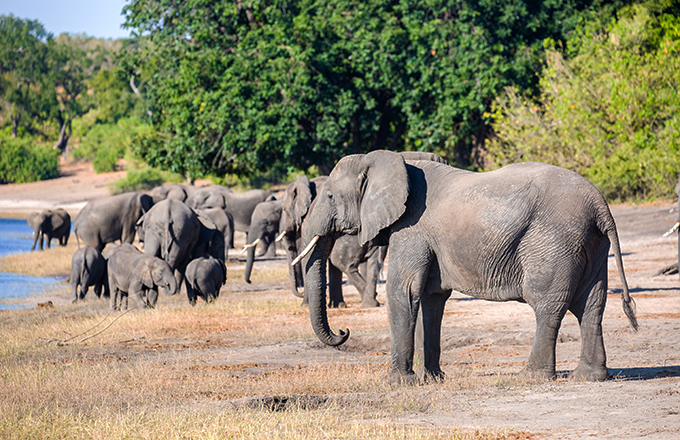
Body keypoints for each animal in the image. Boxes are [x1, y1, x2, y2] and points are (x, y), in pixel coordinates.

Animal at [296, 151, 636, 384]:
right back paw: (589, 377)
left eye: (330, 196)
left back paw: (531, 377)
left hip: (554, 241)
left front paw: (396, 383)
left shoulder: (411, 228)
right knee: (591, 305)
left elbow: (403, 291)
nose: (343, 331)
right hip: (590, 243)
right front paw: (433, 380)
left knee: (548, 304)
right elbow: (431, 297)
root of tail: (600, 205)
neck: (391, 161)